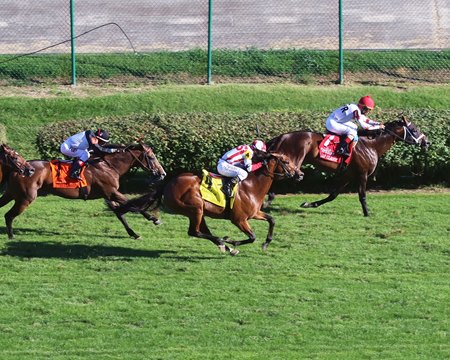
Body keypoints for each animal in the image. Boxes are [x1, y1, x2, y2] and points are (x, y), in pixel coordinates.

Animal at [0, 143, 165, 239]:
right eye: (151, 157)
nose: (162, 173)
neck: (109, 166)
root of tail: (19, 169)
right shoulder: (112, 192)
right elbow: (134, 205)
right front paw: (155, 219)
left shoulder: (108, 194)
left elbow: (120, 213)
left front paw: (133, 233)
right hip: (25, 198)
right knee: (9, 215)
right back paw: (11, 236)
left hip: (11, 193)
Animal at [112, 152, 302, 256]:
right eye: (286, 162)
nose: (300, 174)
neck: (252, 186)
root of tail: (169, 182)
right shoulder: (239, 219)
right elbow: (252, 236)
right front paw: (232, 241)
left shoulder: (254, 213)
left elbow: (272, 220)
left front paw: (266, 243)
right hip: (195, 207)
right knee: (194, 231)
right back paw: (222, 242)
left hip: (199, 211)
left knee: (202, 230)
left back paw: (224, 246)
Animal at [268, 116, 428, 215]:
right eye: (414, 130)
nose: (427, 142)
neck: (371, 145)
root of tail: (281, 137)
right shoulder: (362, 174)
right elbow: (362, 195)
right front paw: (367, 213)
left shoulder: (348, 175)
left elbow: (333, 195)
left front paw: (309, 204)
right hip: (291, 165)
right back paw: (268, 198)